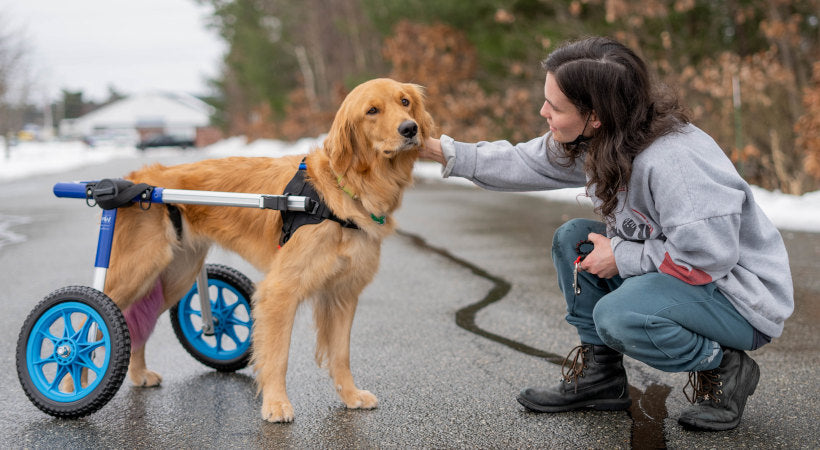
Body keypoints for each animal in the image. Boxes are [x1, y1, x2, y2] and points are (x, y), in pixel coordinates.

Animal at [101, 78, 432, 422]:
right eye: (372, 111)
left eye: (405, 102)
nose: (410, 128)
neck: (339, 191)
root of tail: (138, 180)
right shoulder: (280, 291)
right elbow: (277, 355)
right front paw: (276, 404)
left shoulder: (343, 293)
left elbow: (341, 355)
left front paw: (350, 396)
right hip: (133, 274)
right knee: (97, 322)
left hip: (175, 277)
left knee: (135, 322)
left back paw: (139, 373)